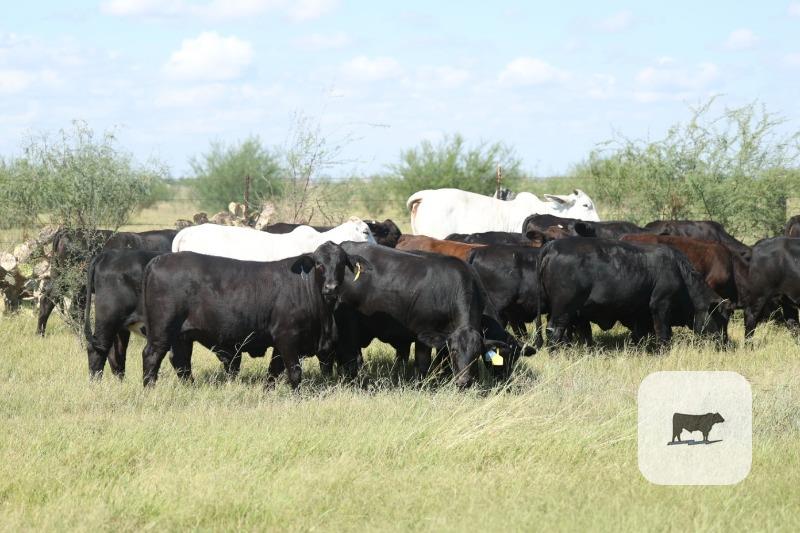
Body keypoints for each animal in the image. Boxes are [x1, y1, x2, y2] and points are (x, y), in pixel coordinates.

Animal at [140, 242, 367, 388]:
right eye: (319, 264)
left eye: (341, 264)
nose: (331, 288)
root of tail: (159, 259)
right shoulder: (287, 337)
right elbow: (294, 372)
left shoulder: (282, 343)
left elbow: (274, 370)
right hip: (162, 330)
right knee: (152, 356)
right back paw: (150, 390)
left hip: (182, 335)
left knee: (181, 361)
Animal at [331, 242, 524, 387]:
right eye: (455, 351)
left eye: (477, 353)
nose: (464, 382)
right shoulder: (423, 334)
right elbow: (423, 364)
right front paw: (421, 385)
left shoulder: (444, 339)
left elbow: (444, 364)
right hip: (349, 325)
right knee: (351, 356)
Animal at [537, 238, 731, 347]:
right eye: (721, 319)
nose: (725, 343)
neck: (679, 272)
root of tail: (552, 246)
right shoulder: (661, 305)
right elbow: (664, 333)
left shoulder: (640, 314)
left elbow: (641, 334)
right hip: (563, 309)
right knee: (555, 331)